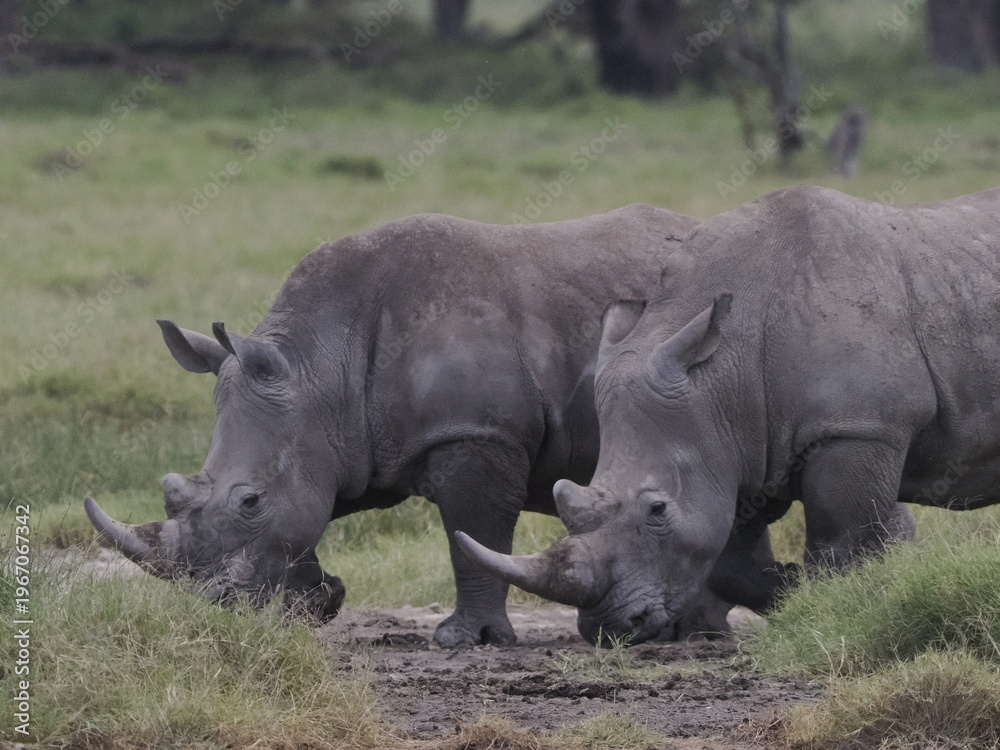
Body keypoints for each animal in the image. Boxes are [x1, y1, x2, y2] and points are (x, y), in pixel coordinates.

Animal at [84, 204, 727, 647]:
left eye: (249, 501)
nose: (217, 603)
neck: (320, 367)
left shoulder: (475, 432)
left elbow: (475, 534)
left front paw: (466, 641)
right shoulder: (354, 443)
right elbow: (310, 520)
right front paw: (312, 603)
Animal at [458, 184, 1000, 645]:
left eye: (657, 510)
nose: (608, 628)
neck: (721, 379)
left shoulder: (860, 429)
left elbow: (841, 540)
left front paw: (832, 611)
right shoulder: (737, 446)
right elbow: (730, 563)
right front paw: (792, 588)